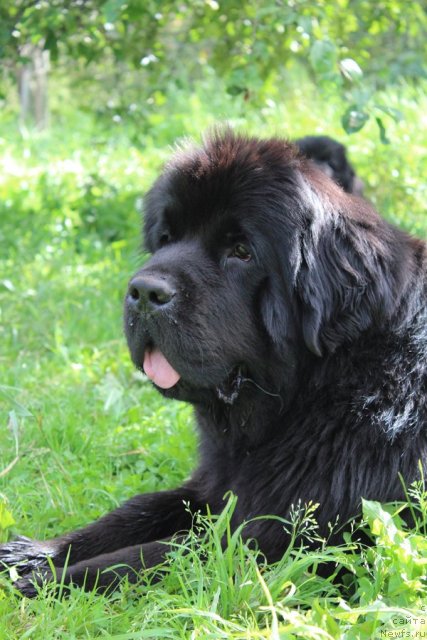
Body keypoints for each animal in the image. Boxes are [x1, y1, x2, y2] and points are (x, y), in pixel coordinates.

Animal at [1, 129, 426, 596]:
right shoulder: (216, 485)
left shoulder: (287, 539)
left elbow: (165, 553)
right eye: (165, 238)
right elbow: (137, 510)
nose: (144, 292)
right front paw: (34, 553)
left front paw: (45, 582)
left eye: (241, 251)